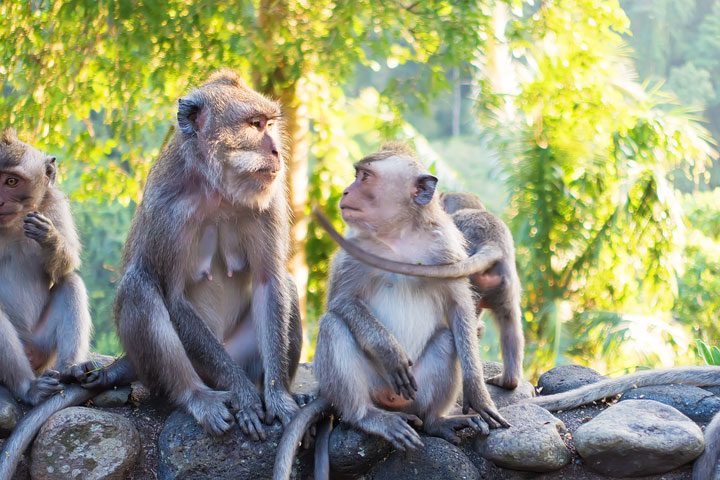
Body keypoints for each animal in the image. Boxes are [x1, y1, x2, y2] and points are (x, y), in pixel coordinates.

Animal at [272, 142, 510, 480]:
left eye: (365, 177)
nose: (346, 191)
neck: (398, 236)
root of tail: (391, 401)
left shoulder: (447, 249)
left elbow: (459, 310)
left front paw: (477, 394)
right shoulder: (351, 251)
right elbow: (342, 302)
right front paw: (390, 351)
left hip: (415, 394)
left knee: (446, 340)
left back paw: (436, 421)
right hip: (372, 386)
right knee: (334, 325)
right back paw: (368, 417)